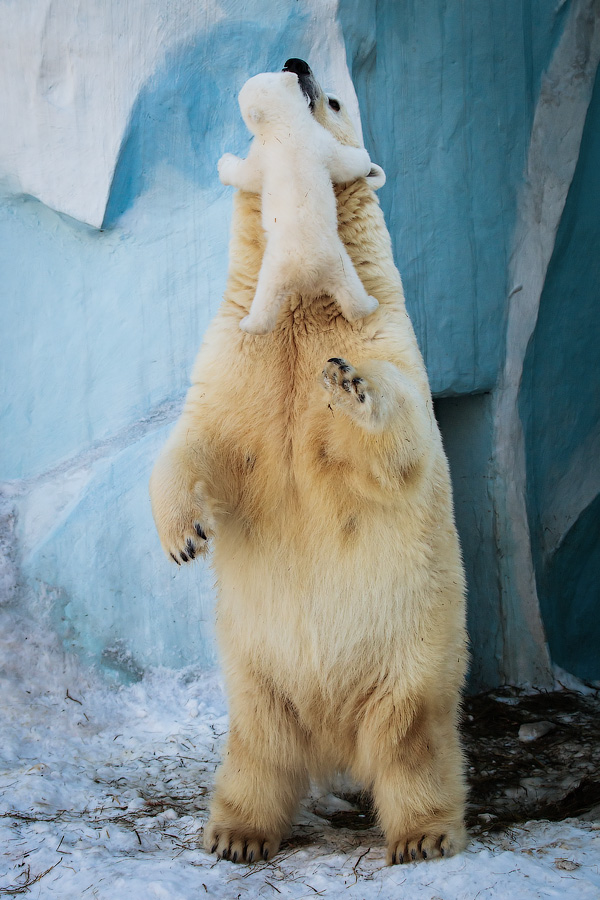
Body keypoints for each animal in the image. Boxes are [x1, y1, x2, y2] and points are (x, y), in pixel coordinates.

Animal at [150, 58, 468, 864]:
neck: (299, 309)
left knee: (413, 744)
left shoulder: (383, 334)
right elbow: (199, 437)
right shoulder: (240, 355)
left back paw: (422, 834)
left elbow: (397, 437)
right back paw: (234, 833)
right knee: (258, 751)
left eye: (332, 100)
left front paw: (348, 384)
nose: (297, 62)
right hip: (255, 676)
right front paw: (184, 538)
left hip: (413, 658)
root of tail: (335, 739)